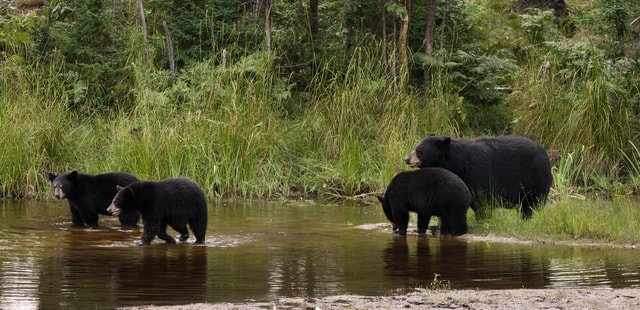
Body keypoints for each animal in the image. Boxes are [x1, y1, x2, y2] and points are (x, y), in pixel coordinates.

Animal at [404, 135, 552, 218]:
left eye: (419, 150)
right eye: (415, 147)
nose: (406, 159)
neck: (455, 163)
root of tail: (546, 155)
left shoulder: (476, 172)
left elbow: (481, 199)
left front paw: (483, 218)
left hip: (535, 180)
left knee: (532, 204)